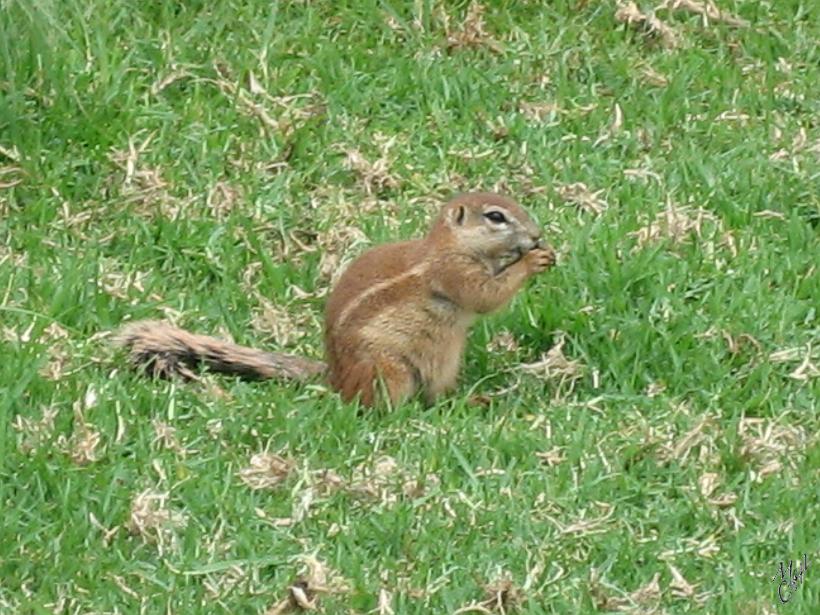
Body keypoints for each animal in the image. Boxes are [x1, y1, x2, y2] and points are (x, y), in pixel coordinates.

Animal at [118, 190, 556, 406]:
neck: (450, 245)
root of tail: (335, 377)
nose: (536, 235)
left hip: (443, 362)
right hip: (388, 369)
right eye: (496, 217)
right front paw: (531, 261)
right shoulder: (452, 272)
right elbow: (484, 295)